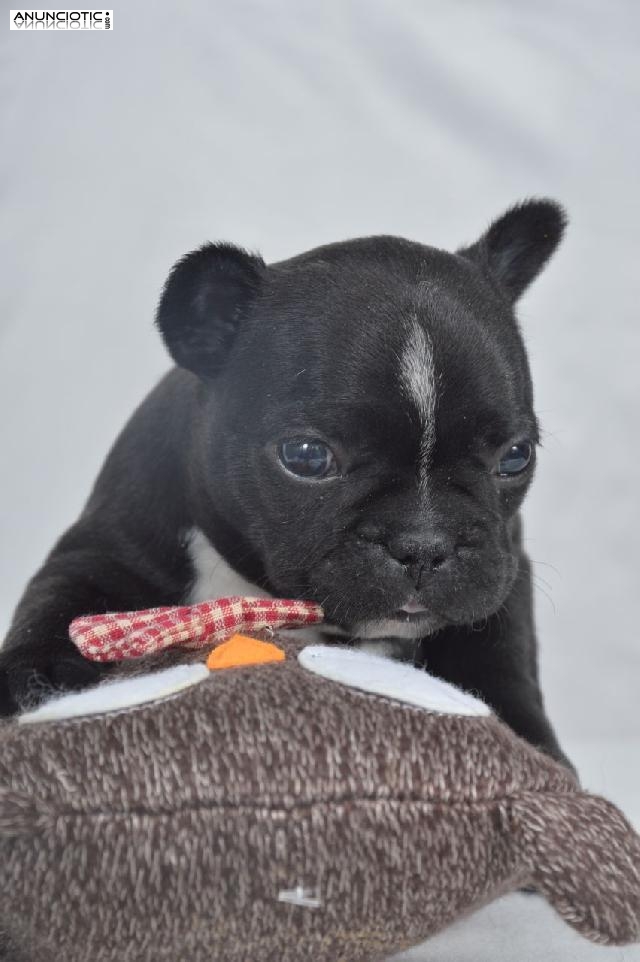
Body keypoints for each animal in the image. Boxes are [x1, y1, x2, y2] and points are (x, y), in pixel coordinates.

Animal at [0, 201, 568, 764]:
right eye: (307, 457)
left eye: (516, 456)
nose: (425, 544)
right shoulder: (111, 542)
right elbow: (59, 598)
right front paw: (33, 677)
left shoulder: (505, 565)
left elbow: (497, 652)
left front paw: (533, 742)